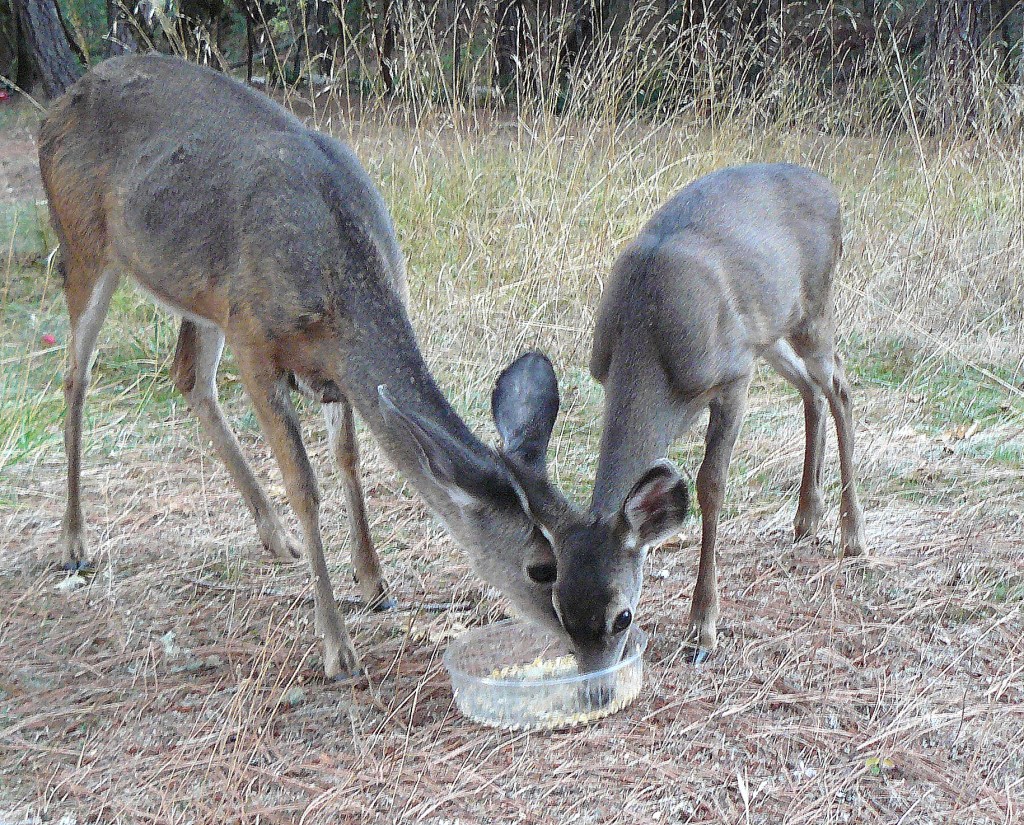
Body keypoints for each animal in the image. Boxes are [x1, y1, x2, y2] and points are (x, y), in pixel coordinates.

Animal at [39, 54, 692, 681]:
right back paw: (73, 541)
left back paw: (273, 536)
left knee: (189, 377)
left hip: (193, 293)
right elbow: (306, 486)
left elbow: (348, 460)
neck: (338, 276)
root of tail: (62, 97)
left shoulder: (330, 368)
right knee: (75, 375)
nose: (585, 650)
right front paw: (338, 650)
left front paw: (376, 585)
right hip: (82, 243)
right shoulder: (254, 338)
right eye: (541, 568)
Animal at [494, 163, 868, 669]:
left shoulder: (732, 377)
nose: (596, 678)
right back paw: (808, 515)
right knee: (811, 389)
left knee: (840, 387)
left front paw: (702, 626)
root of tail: (828, 186)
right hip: (769, 329)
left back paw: (852, 535)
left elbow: (711, 484)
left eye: (623, 617)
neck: (648, 340)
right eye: (560, 610)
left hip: (813, 308)